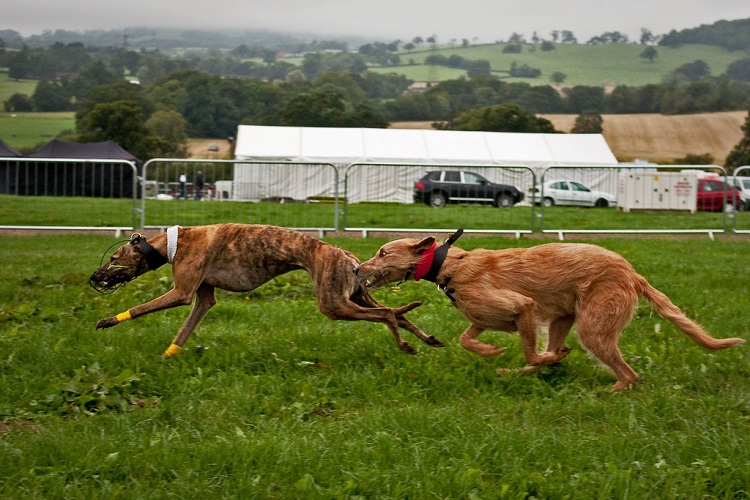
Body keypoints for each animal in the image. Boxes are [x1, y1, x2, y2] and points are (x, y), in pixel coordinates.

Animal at [90, 223, 444, 356]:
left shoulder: (182, 292)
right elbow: (184, 331)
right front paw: (167, 357)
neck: (173, 243)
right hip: (354, 295)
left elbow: (142, 308)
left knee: (387, 314)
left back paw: (405, 345)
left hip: (332, 303)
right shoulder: (204, 298)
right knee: (397, 314)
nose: (95, 277)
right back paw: (428, 339)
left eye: (115, 259)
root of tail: (346, 254)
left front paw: (108, 320)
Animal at [358, 234, 748, 390]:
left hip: (593, 327)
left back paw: (607, 389)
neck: (448, 266)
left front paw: (516, 355)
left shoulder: (523, 308)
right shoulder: (483, 319)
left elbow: (529, 349)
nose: (357, 269)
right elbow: (467, 338)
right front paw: (491, 351)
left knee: (629, 374)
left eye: (381, 252)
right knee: (546, 356)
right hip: (564, 318)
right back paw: (516, 371)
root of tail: (631, 273)